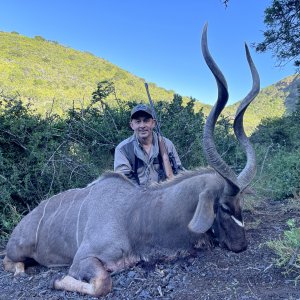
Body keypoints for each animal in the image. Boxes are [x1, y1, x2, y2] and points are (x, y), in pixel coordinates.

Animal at [3, 25, 258, 298]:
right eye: (223, 207)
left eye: (241, 203)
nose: (242, 245)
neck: (135, 215)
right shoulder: (82, 259)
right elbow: (102, 283)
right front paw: (56, 281)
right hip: (18, 251)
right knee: (10, 262)